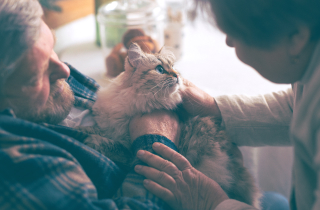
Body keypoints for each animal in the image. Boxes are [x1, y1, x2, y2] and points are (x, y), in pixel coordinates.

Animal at [84, 43, 262, 208]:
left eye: (173, 68)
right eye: (160, 69)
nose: (177, 75)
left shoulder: (129, 149)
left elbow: (111, 145)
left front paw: (87, 138)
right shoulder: (109, 127)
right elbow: (98, 131)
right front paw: (81, 130)